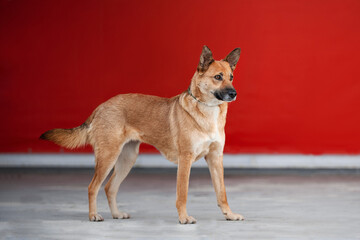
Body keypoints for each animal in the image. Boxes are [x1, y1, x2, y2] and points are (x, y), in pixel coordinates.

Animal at [41, 46, 245, 224]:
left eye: (232, 77)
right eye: (217, 77)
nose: (234, 93)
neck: (207, 109)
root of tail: (101, 107)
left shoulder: (215, 158)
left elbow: (222, 193)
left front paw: (229, 215)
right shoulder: (185, 159)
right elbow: (182, 194)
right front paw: (184, 218)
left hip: (127, 159)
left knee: (109, 187)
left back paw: (116, 214)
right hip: (108, 156)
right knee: (93, 187)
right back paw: (93, 215)